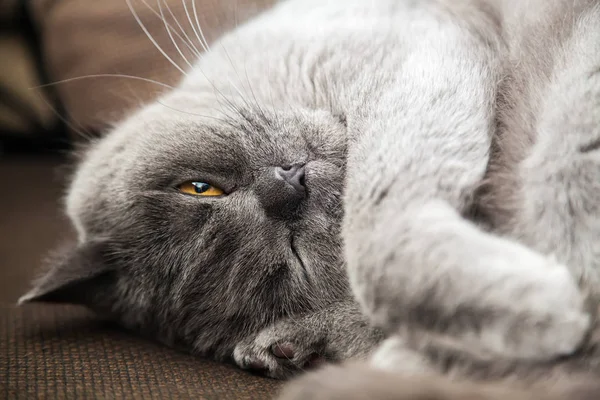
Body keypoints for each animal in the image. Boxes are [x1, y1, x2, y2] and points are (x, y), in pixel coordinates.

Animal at [17, 0, 600, 396]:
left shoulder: (407, 50)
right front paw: (290, 346)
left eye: (199, 186)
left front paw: (541, 305)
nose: (287, 187)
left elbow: (376, 240)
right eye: (292, 259)